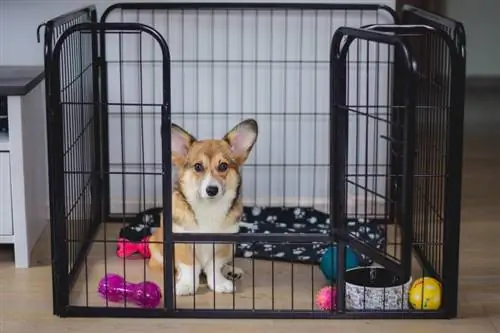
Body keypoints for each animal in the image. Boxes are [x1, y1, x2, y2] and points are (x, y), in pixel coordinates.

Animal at [147, 118, 258, 294]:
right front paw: (186, 285)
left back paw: (231, 271)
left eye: (223, 166)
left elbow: (215, 266)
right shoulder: (181, 242)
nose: (212, 190)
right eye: (198, 167)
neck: (208, 207)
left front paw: (219, 283)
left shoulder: (223, 245)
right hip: (155, 247)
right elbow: (188, 266)